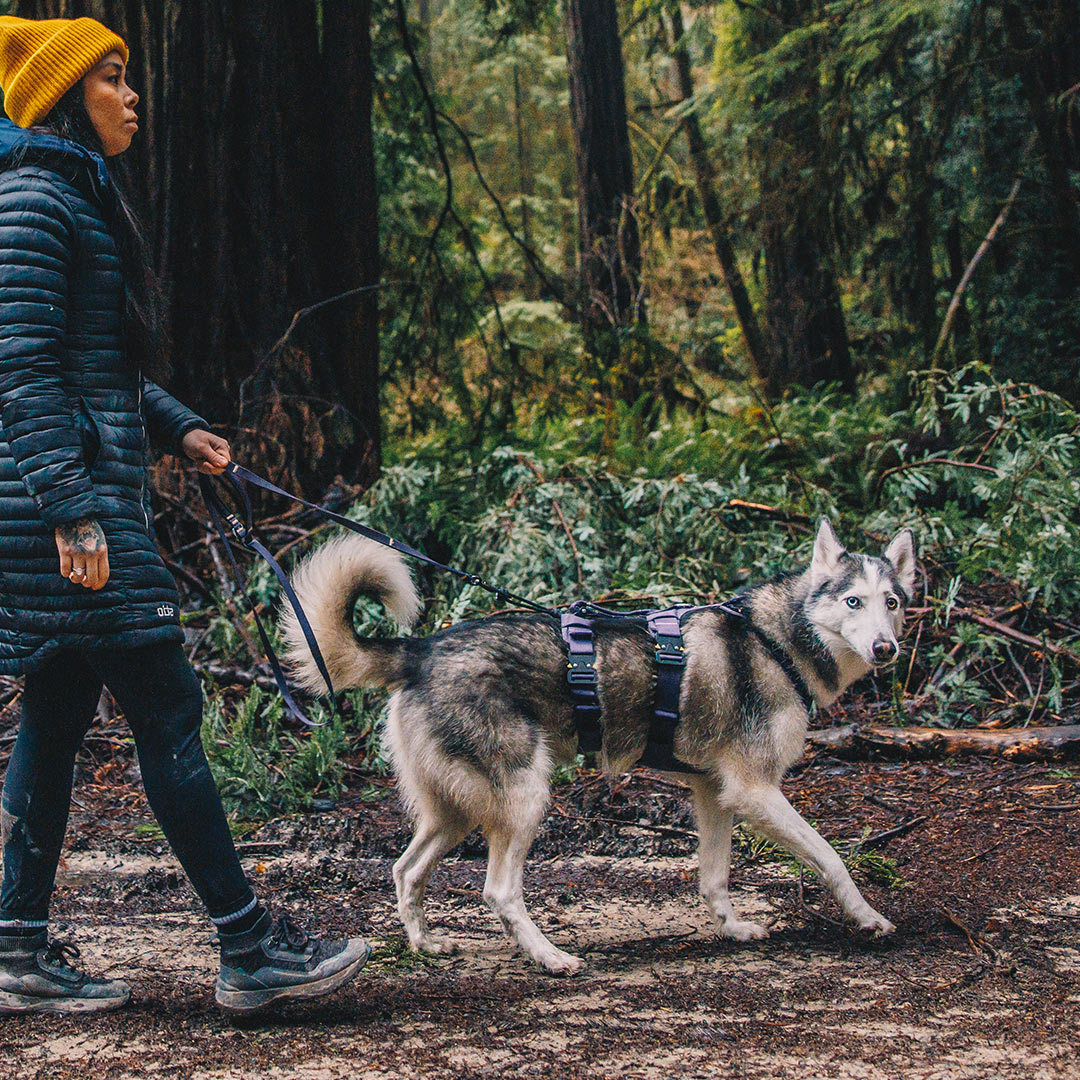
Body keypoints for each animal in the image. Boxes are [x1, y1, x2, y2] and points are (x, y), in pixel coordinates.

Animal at [280, 518, 920, 976]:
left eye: (891, 602)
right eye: (853, 602)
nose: (886, 649)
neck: (777, 641)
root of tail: (421, 649)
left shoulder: (715, 793)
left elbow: (714, 876)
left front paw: (733, 929)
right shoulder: (756, 792)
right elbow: (832, 858)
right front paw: (868, 916)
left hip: (455, 812)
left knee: (405, 870)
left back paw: (423, 944)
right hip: (524, 798)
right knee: (498, 891)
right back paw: (549, 958)